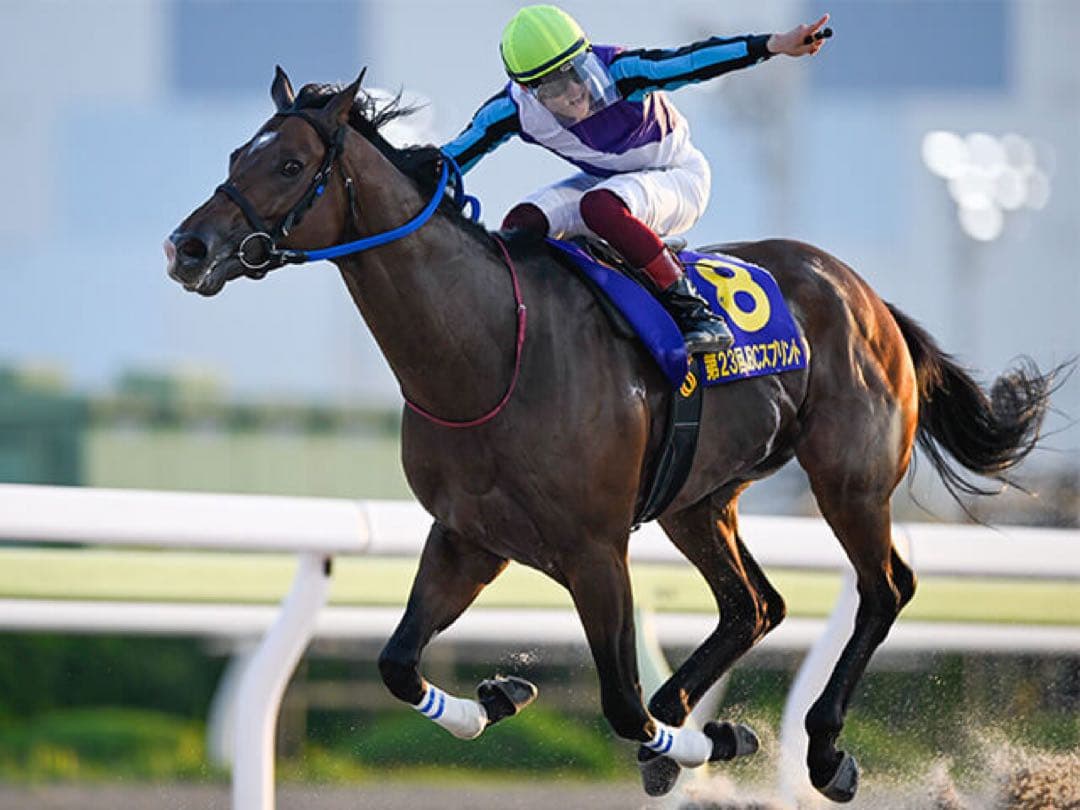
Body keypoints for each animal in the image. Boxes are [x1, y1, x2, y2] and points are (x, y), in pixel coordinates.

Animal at [165, 68, 1058, 803]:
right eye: (239, 151)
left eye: (289, 166)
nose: (188, 246)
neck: (490, 349)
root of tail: (865, 294)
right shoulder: (468, 536)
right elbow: (395, 663)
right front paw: (496, 700)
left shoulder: (595, 549)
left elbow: (621, 704)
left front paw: (715, 739)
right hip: (699, 500)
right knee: (755, 606)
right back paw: (688, 716)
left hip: (849, 478)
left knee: (885, 588)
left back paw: (822, 750)